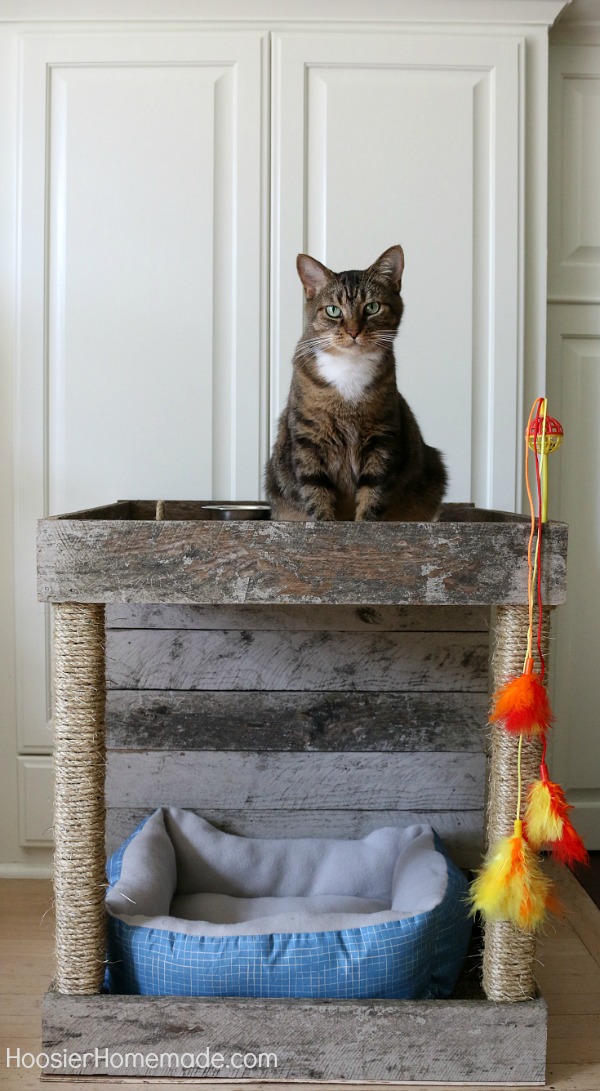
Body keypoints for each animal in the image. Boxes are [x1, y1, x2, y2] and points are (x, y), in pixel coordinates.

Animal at [267, 247, 447, 519]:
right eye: (333, 310)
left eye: (372, 307)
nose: (353, 331)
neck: (348, 367)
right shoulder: (308, 436)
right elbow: (315, 490)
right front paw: (324, 523)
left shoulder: (381, 436)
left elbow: (373, 493)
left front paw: (364, 523)